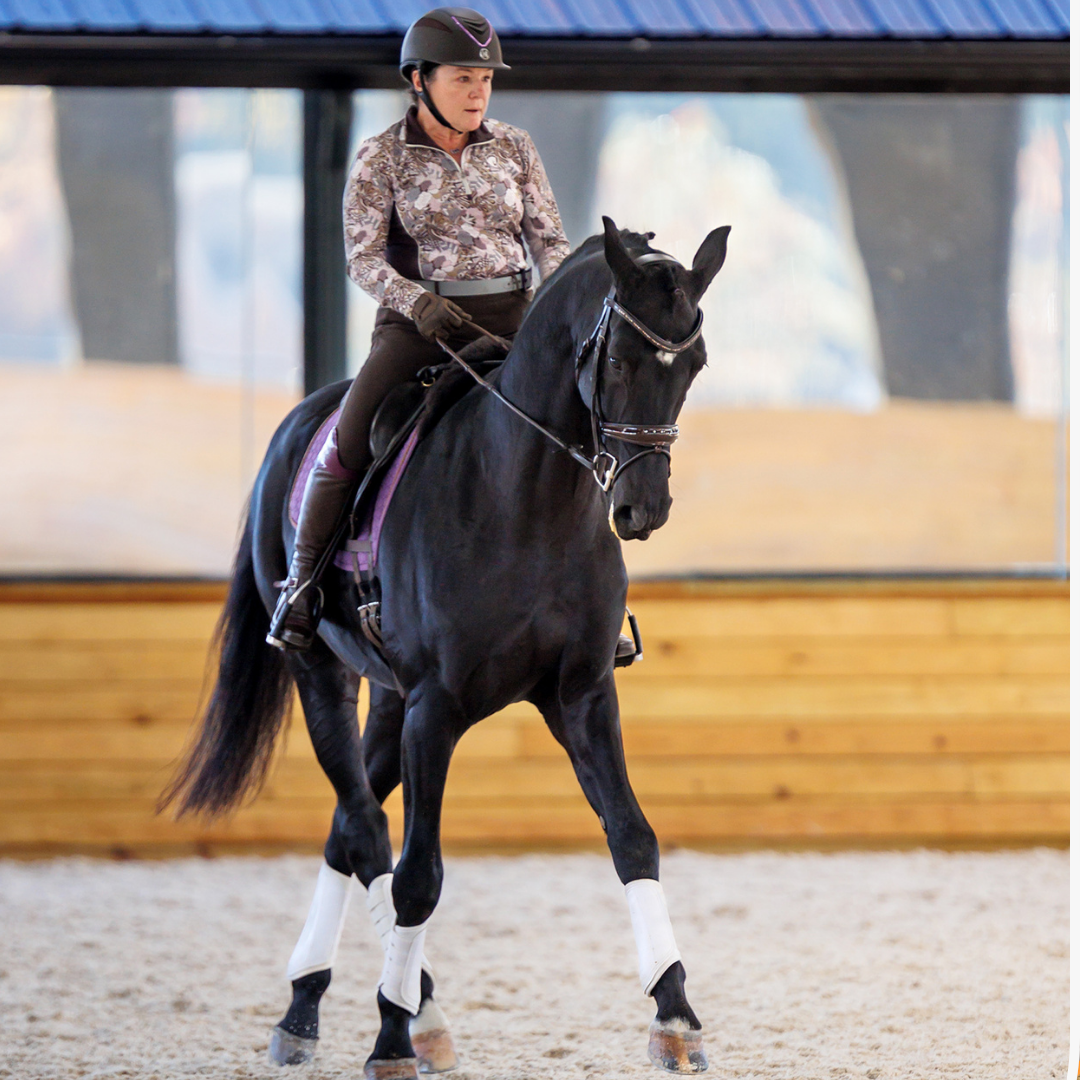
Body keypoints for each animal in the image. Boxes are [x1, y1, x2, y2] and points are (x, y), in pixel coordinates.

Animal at [162, 216, 730, 1078]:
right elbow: (417, 877)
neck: (527, 501)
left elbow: (633, 838)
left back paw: (319, 1005)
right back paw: (397, 1012)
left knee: (347, 824)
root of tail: (298, 424)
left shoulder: (581, 696)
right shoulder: (437, 709)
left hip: (389, 699)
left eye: (692, 365)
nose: (642, 507)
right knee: (366, 830)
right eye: (620, 360)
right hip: (322, 672)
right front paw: (390, 1039)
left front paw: (675, 1015)